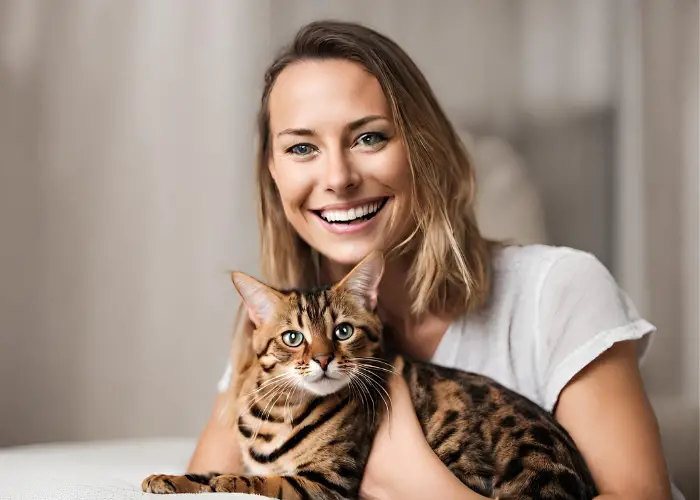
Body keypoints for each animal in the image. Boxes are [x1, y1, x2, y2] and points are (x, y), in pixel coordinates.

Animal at [141, 252, 596, 498]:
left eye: (343, 331)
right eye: (293, 337)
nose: (324, 359)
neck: (281, 407)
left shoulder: (325, 483)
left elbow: (251, 482)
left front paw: (222, 483)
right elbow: (206, 472)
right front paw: (167, 478)